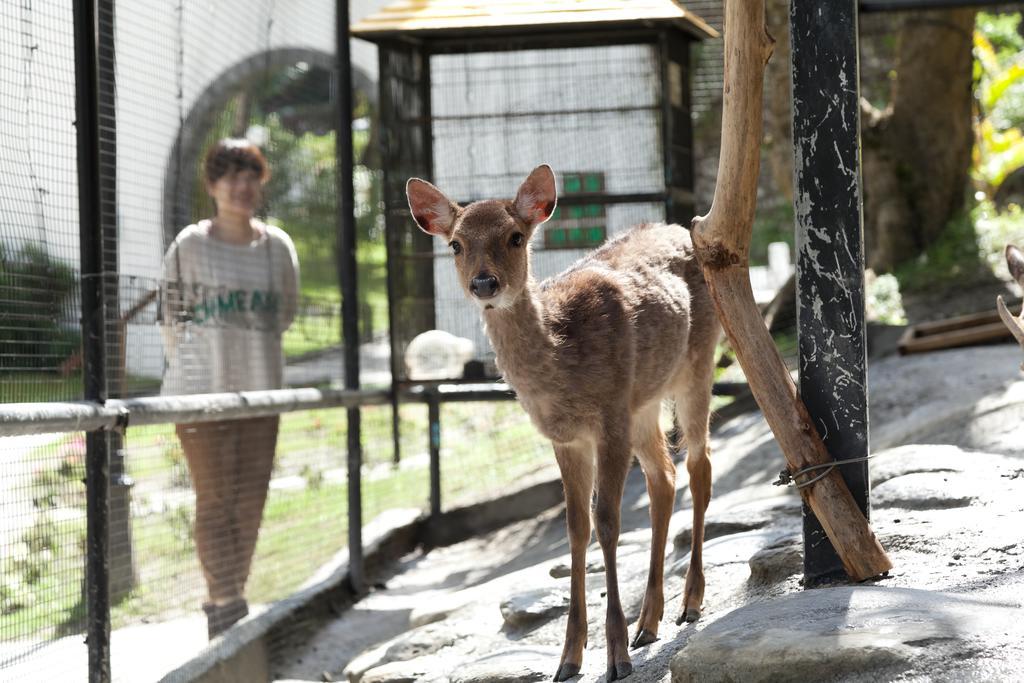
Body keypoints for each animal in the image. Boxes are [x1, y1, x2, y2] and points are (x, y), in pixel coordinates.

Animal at [403, 166, 716, 683]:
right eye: (456, 244)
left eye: (515, 236)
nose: (484, 284)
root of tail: (680, 227)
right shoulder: (567, 437)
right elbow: (575, 527)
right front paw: (569, 657)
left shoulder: (608, 417)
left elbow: (607, 522)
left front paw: (615, 658)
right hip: (643, 401)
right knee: (664, 477)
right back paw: (648, 622)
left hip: (699, 360)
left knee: (699, 466)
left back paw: (689, 603)